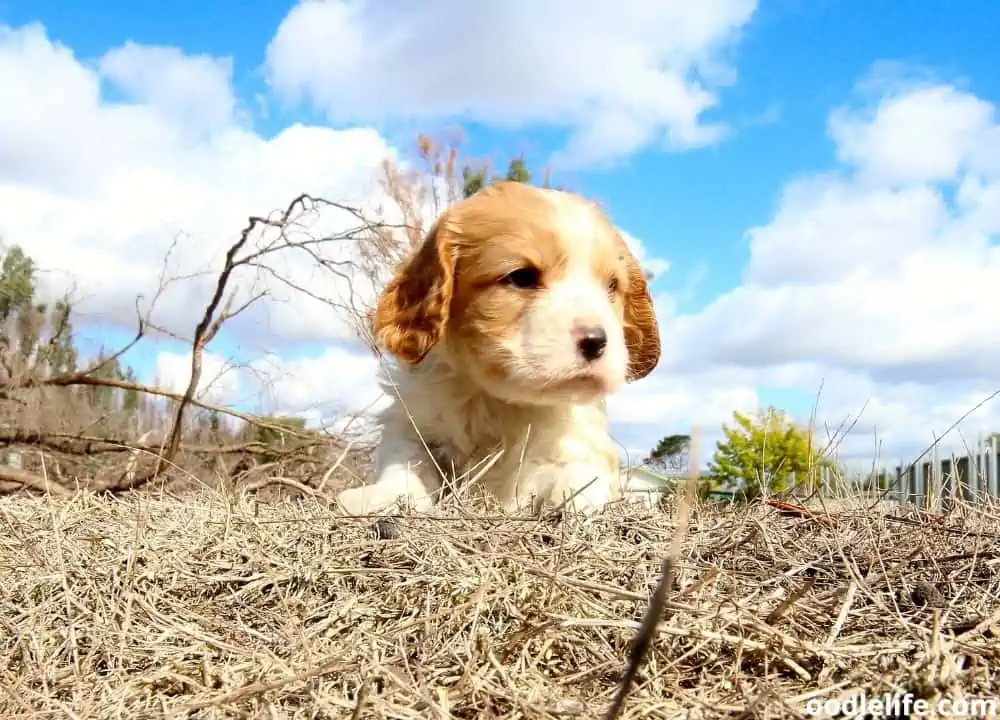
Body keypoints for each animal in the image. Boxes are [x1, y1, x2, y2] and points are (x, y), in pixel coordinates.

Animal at [340, 180, 660, 516]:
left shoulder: (577, 440)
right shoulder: (413, 420)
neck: (500, 403)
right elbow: (406, 461)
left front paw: (577, 495)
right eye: (521, 277)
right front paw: (383, 495)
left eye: (611, 286)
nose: (596, 340)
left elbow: (579, 472)